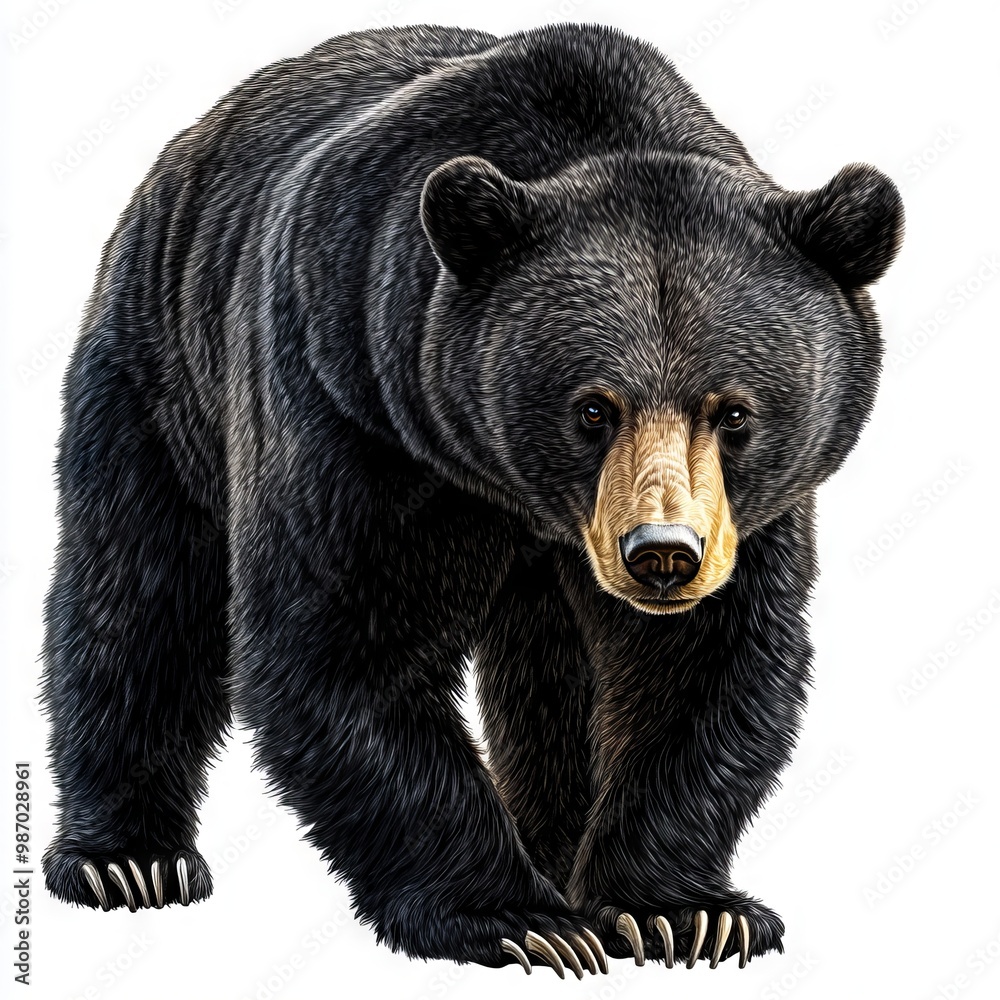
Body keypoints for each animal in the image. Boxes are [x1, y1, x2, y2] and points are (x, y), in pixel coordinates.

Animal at [41, 22, 902, 976]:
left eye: (735, 411)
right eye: (592, 408)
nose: (662, 556)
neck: (512, 489)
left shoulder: (745, 520)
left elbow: (705, 662)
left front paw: (681, 910)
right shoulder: (353, 406)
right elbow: (343, 648)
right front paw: (519, 919)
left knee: (550, 667)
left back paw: (559, 850)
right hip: (161, 371)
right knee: (139, 590)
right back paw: (127, 860)